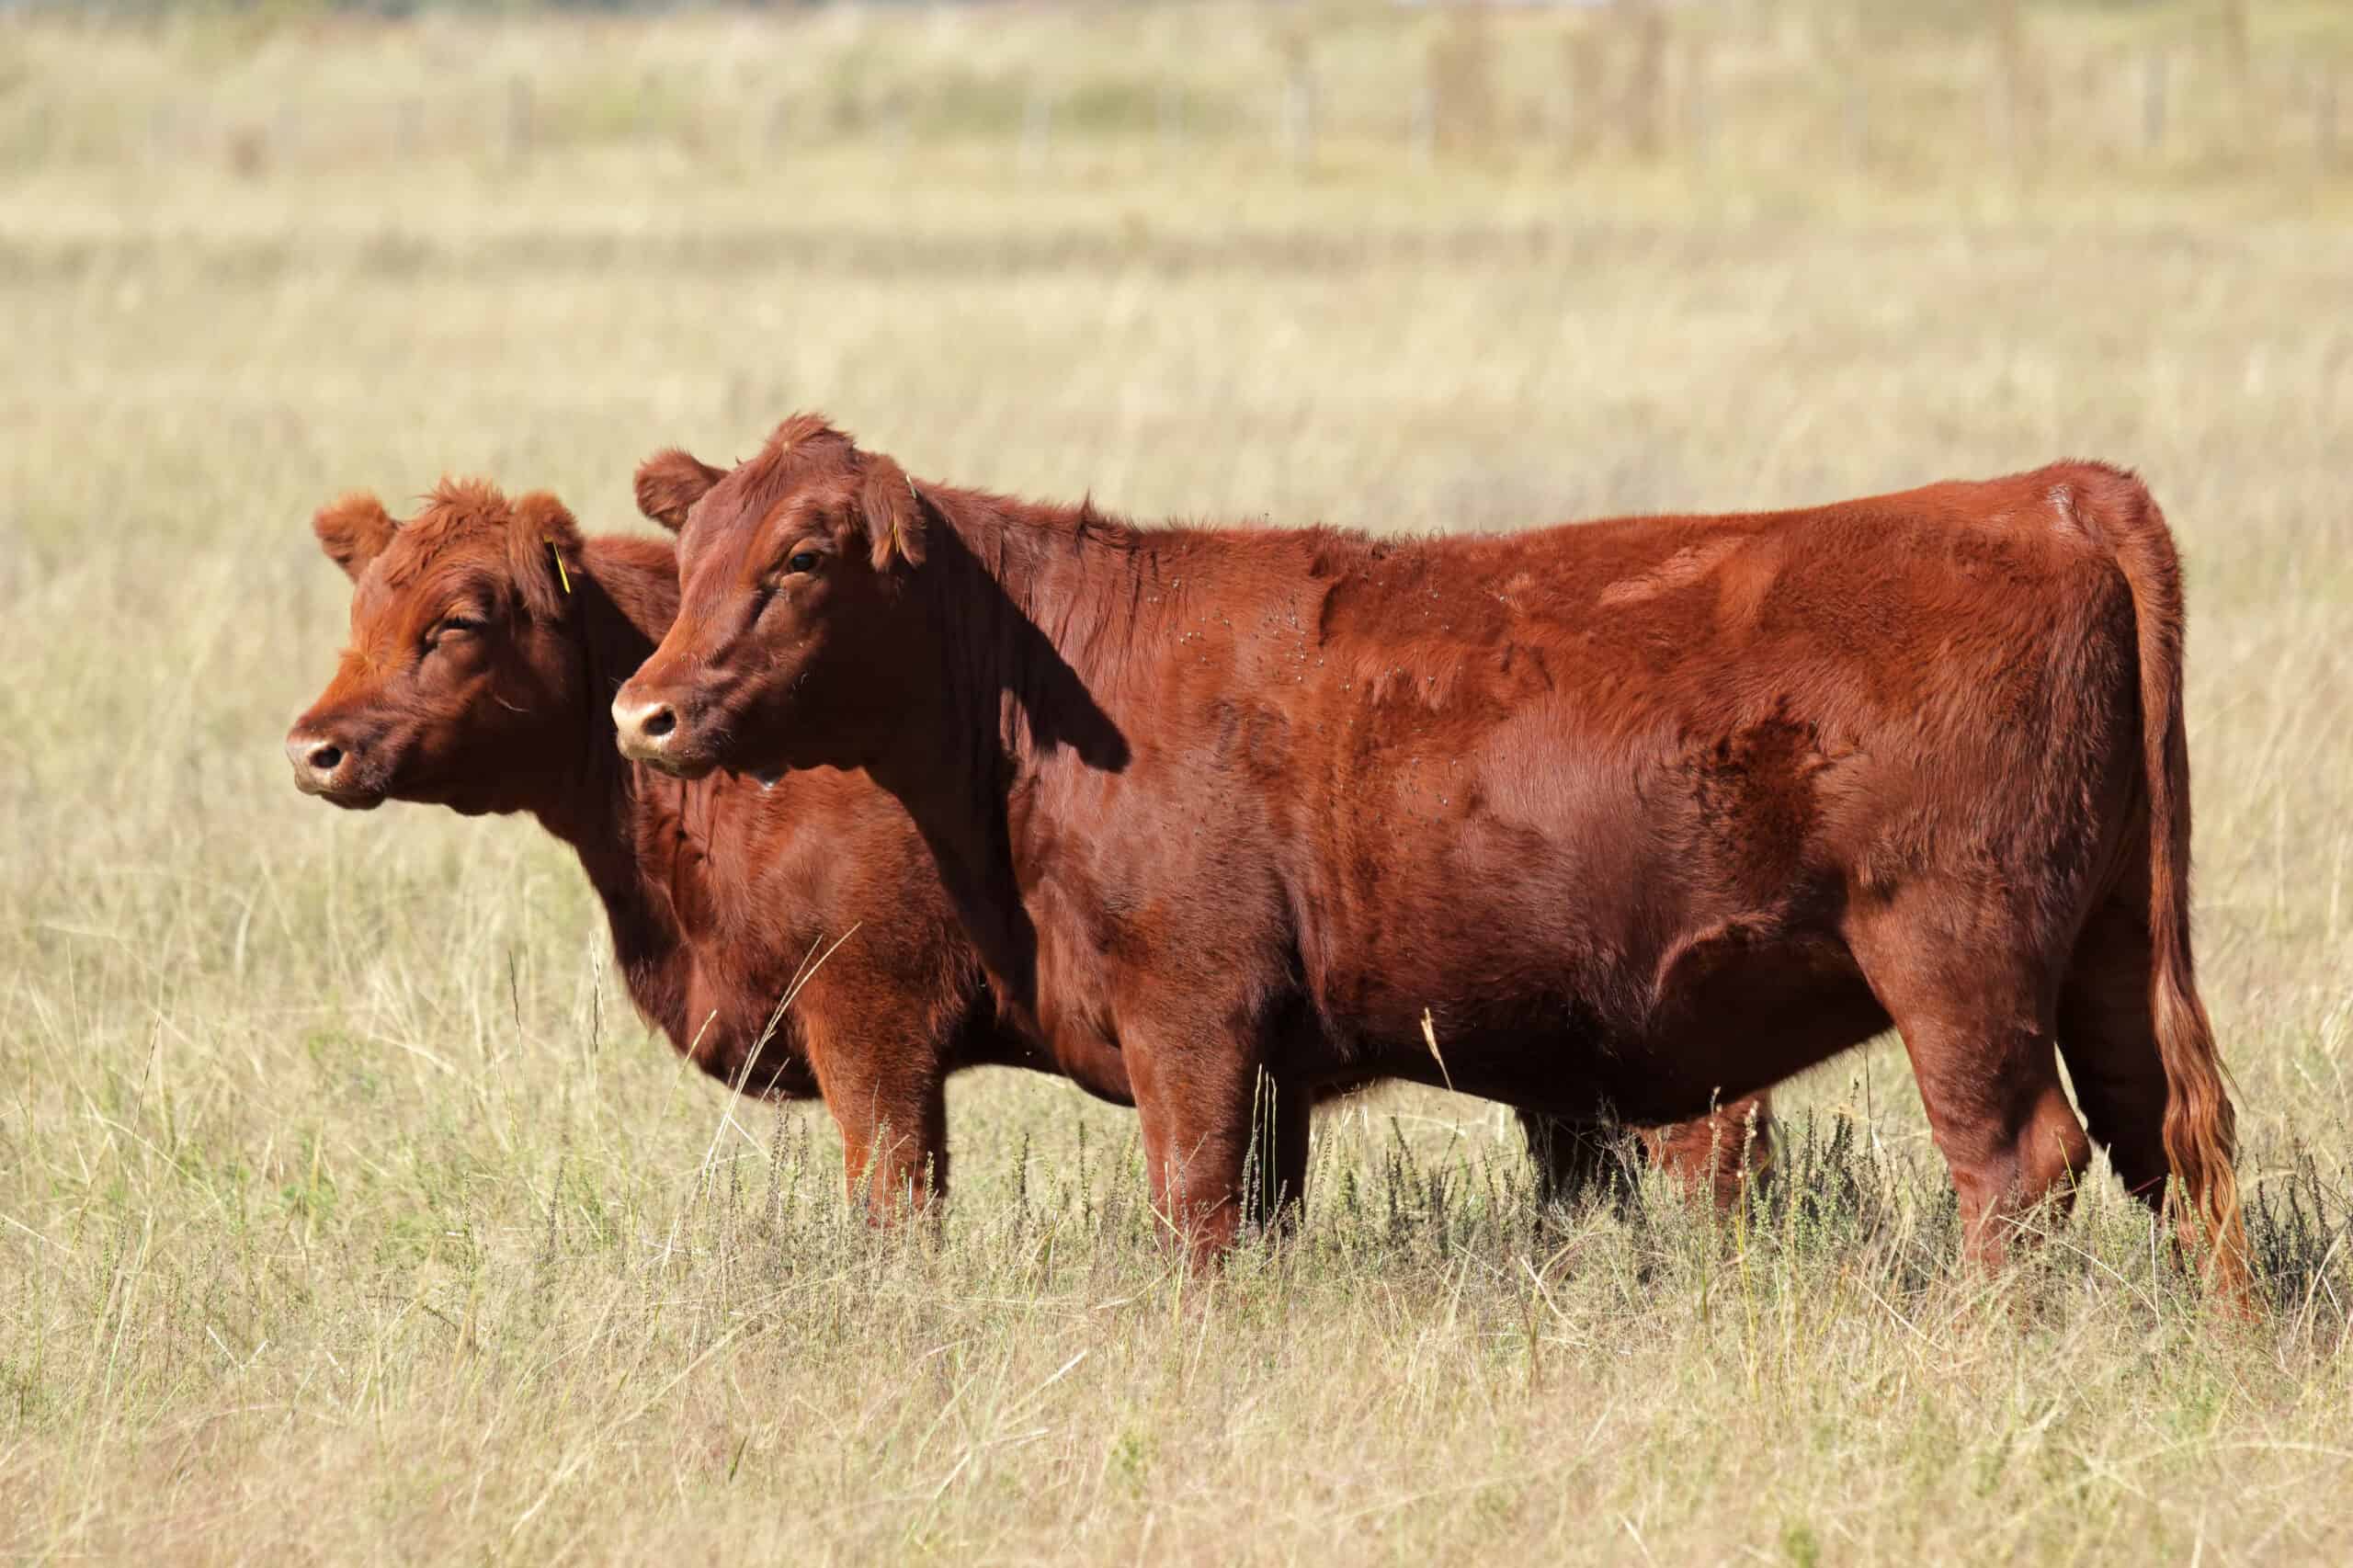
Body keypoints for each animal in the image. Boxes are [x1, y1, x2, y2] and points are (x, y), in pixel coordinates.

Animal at [616, 418, 2249, 1290]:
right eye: (688, 561)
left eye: (800, 560)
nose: (646, 711)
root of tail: (2046, 489)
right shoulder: (1265, 1061)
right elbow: (1256, 1213)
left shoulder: (1190, 1014)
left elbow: (1195, 1213)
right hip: (2109, 949)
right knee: (2175, 1143)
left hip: (1955, 956)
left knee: (2018, 1162)